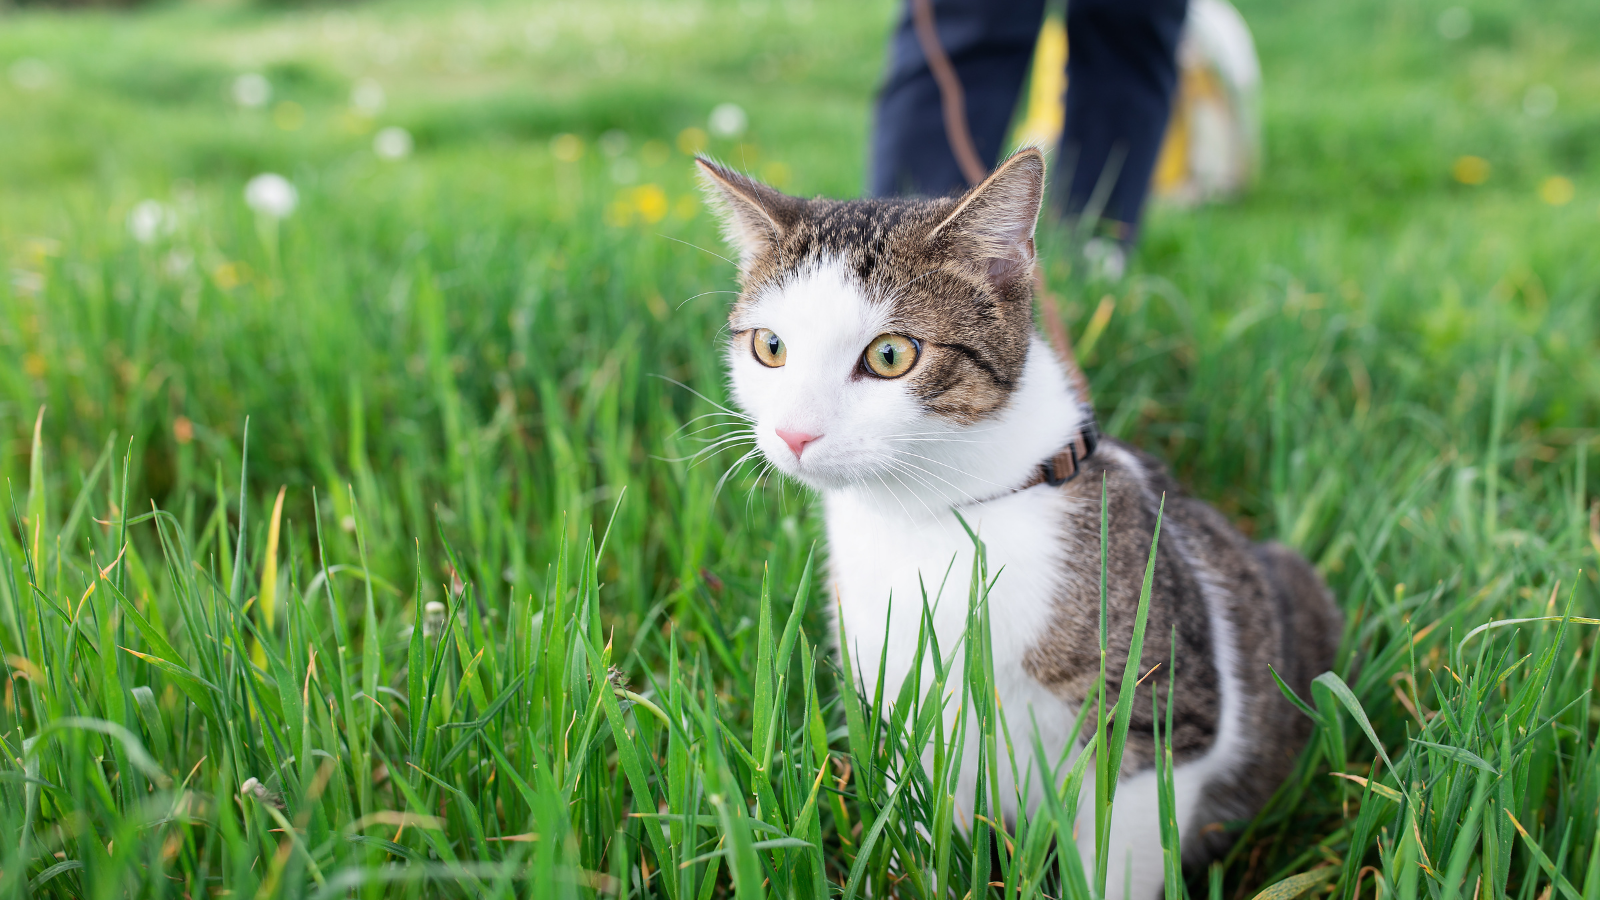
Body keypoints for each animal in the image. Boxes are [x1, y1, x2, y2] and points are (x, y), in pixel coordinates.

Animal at [697, 147, 1337, 890]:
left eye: (890, 355)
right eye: (770, 347)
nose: (795, 434)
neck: (934, 515)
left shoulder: (1163, 714)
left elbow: (1118, 851)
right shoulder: (902, 712)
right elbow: (924, 826)